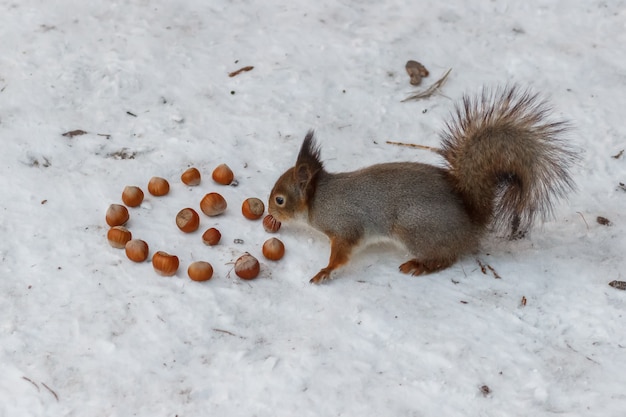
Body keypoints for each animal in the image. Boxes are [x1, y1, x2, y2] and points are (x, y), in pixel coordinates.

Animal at [266, 86, 576, 284]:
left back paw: (421, 265)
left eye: (280, 200)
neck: (319, 197)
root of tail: (471, 223)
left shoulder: (345, 226)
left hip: (413, 229)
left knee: (447, 256)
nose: (270, 213)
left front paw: (326, 271)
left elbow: (341, 254)